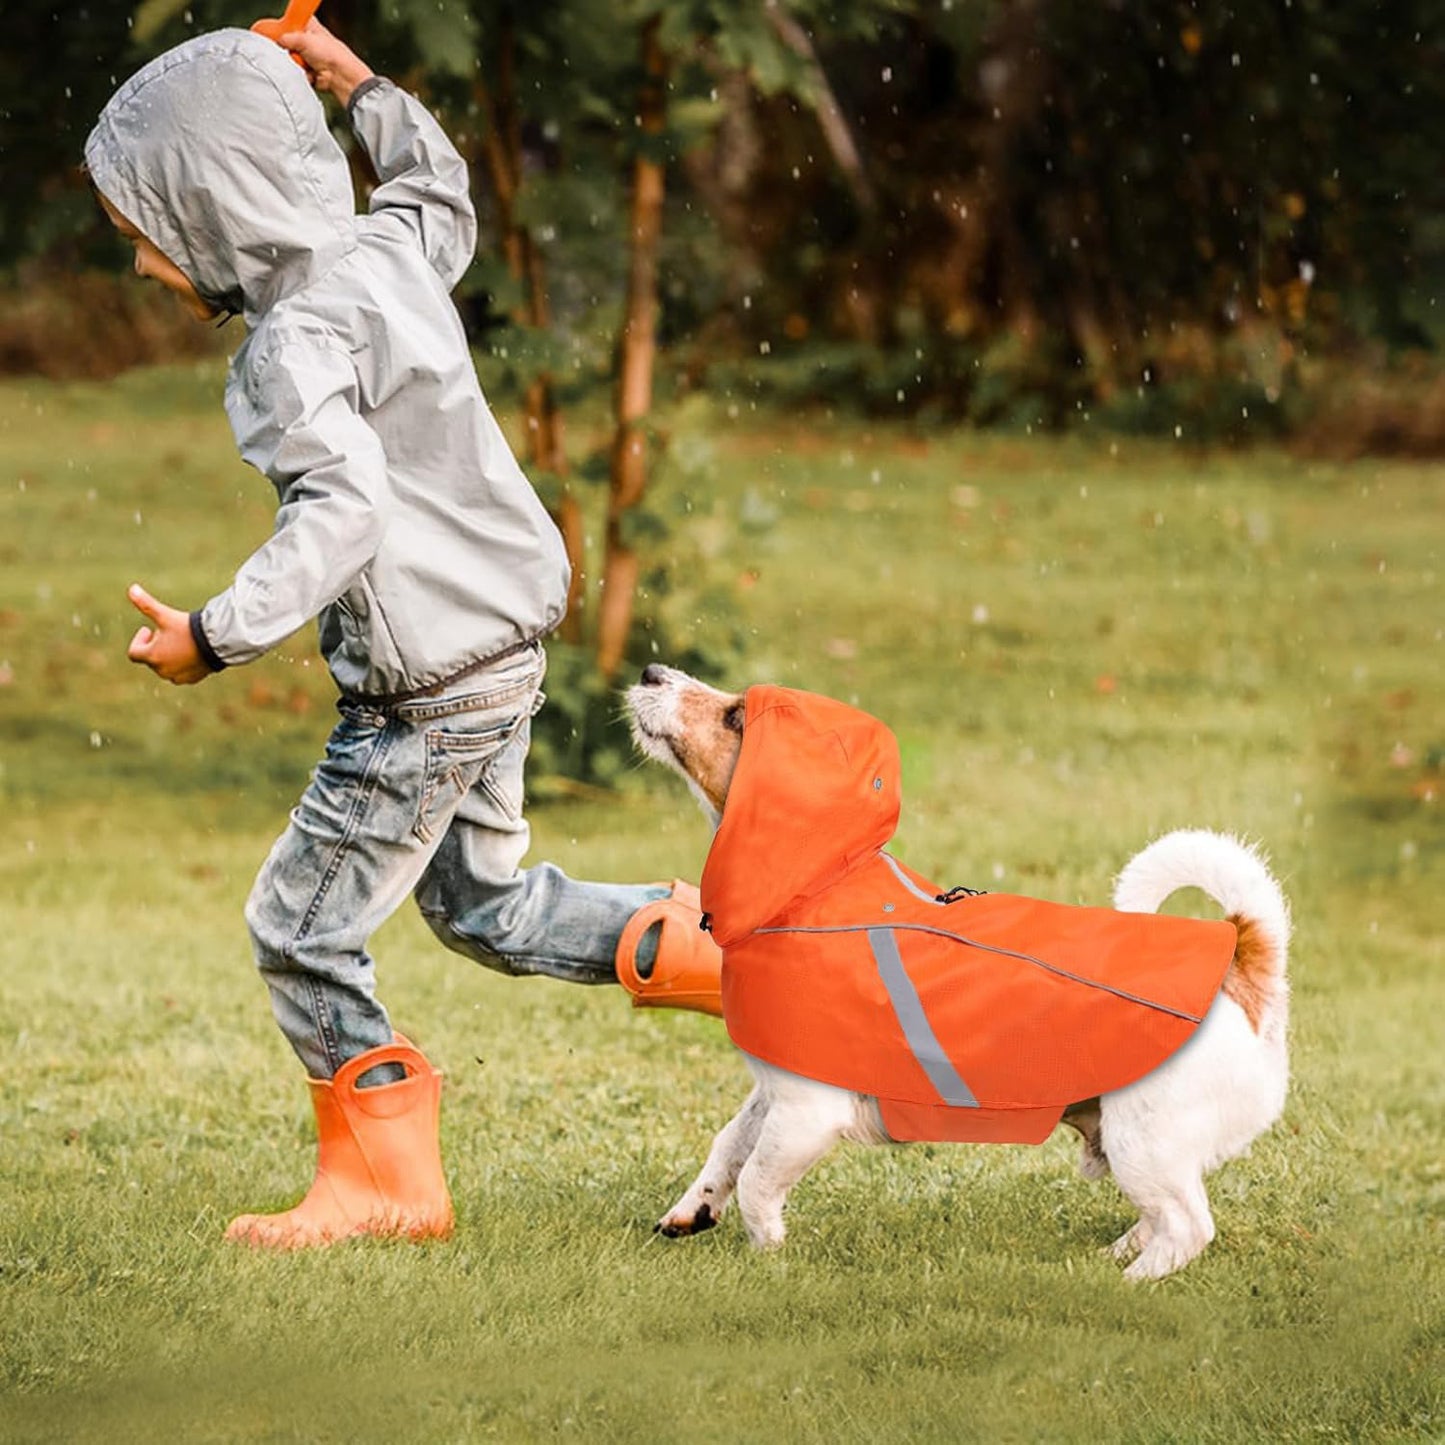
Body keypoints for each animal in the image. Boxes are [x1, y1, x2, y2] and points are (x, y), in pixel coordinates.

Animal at [627, 661, 1294, 1283]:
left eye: (736, 715)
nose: (651, 670)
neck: (817, 886)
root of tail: (1243, 968)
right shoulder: (772, 1092)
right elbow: (729, 1147)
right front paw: (693, 1210)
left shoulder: (805, 1113)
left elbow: (758, 1183)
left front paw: (767, 1249)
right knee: (1161, 1219)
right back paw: (1114, 1256)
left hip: (1144, 1140)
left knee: (1187, 1226)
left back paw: (1126, 1282)